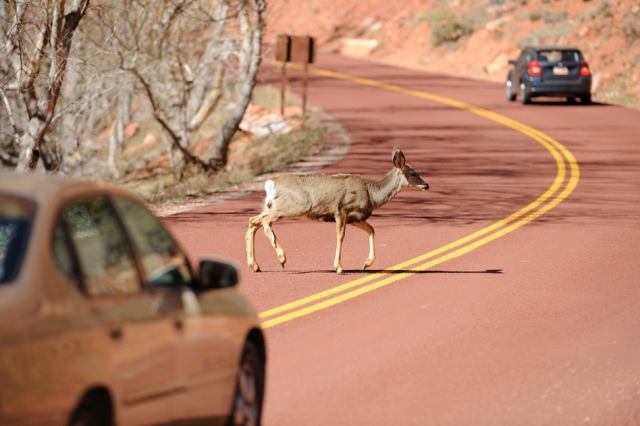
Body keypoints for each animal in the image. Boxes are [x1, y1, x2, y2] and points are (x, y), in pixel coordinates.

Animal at [246, 146, 430, 272]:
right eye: (413, 173)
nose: (426, 185)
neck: (371, 194)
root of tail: (270, 183)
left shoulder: (356, 218)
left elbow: (372, 230)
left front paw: (366, 263)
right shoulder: (342, 210)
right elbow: (340, 236)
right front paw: (338, 267)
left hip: (272, 205)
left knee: (253, 221)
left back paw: (255, 265)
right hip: (292, 206)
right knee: (263, 221)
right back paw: (281, 257)